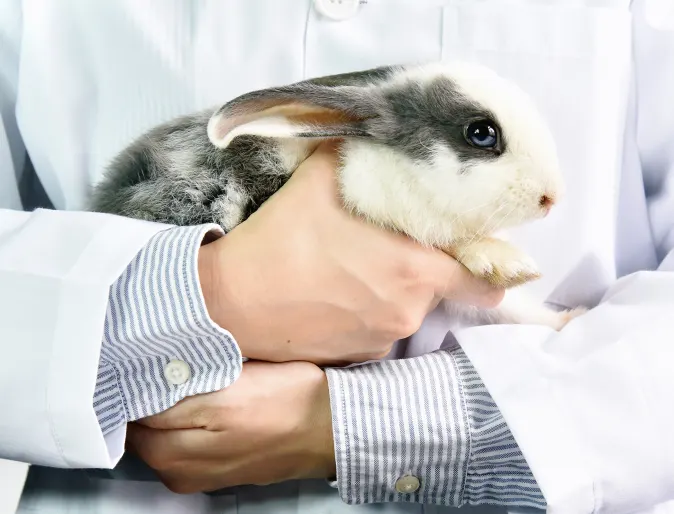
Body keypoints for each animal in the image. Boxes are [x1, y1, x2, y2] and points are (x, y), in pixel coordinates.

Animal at [89, 60, 584, 330]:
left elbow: (514, 311)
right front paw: (507, 262)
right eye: (481, 134)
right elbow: (454, 241)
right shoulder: (387, 203)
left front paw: (566, 318)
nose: (552, 198)